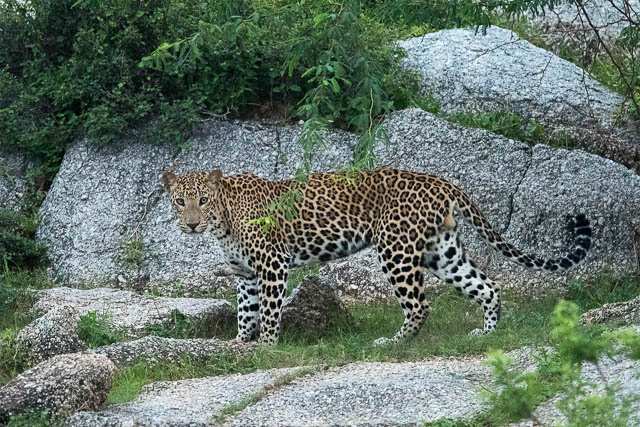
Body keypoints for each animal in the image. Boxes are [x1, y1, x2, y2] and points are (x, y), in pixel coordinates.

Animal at [162, 169, 592, 346]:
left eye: (203, 200)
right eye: (181, 201)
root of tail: (442, 181)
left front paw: (266, 347)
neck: (224, 220)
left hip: (396, 249)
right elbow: (245, 312)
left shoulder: (272, 266)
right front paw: (239, 344)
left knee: (420, 305)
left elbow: (267, 312)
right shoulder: (247, 275)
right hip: (443, 252)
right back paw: (487, 333)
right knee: (487, 285)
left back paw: (391, 343)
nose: (192, 224)